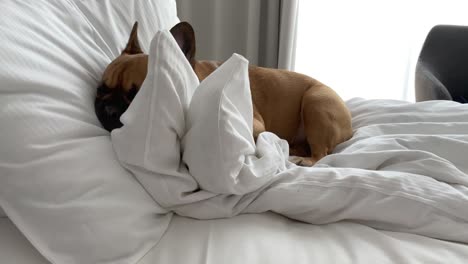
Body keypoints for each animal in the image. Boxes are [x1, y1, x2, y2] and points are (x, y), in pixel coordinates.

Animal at [97, 21, 352, 166]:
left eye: (138, 95)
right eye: (101, 89)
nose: (109, 109)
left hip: (315, 101)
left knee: (322, 153)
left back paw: (303, 158)